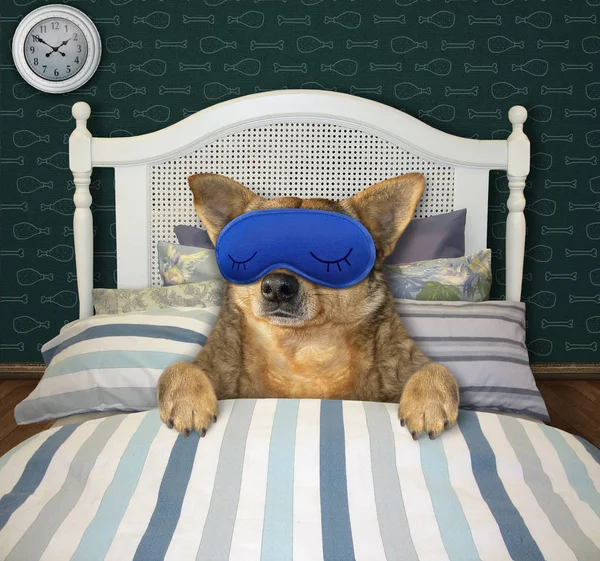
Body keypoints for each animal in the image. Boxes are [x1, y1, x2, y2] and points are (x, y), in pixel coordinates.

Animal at [156, 173, 460, 440]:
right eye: (250, 253)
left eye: (331, 256)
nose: (277, 286)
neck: (303, 349)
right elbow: (178, 367)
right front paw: (188, 402)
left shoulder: (408, 363)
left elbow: (438, 369)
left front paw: (427, 405)